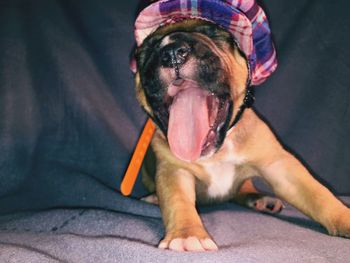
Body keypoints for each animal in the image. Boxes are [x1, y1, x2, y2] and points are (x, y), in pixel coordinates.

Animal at [131, 0, 350, 253]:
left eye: (213, 33)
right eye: (146, 50)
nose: (172, 53)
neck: (217, 149)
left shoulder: (280, 165)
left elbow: (318, 194)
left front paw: (344, 218)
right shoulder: (173, 169)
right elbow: (178, 201)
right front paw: (187, 235)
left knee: (243, 189)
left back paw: (260, 199)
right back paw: (153, 198)